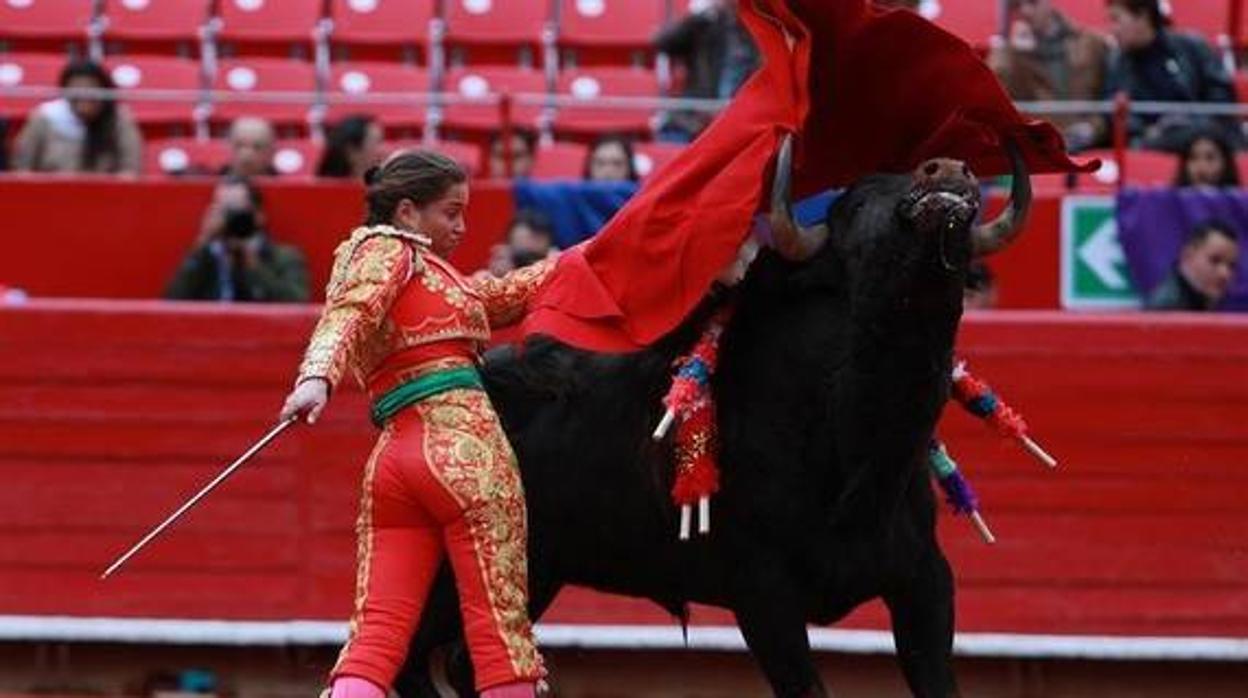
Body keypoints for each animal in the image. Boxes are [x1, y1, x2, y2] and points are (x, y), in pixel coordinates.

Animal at [394, 150, 1028, 694]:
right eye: (853, 207)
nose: (946, 169)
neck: (857, 445)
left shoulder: (924, 583)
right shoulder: (764, 595)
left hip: (536, 572)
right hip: (454, 572)